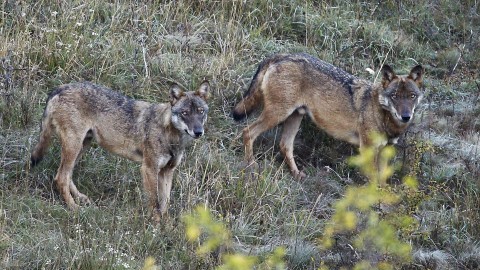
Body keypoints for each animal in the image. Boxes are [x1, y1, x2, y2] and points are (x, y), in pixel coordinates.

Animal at [232, 52, 424, 179]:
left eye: (411, 96)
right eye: (395, 96)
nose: (406, 116)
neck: (383, 115)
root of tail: (280, 55)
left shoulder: (385, 150)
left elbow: (382, 180)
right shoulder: (368, 149)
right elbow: (373, 180)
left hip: (294, 118)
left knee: (284, 145)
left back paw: (297, 174)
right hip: (277, 115)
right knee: (247, 132)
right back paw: (251, 165)